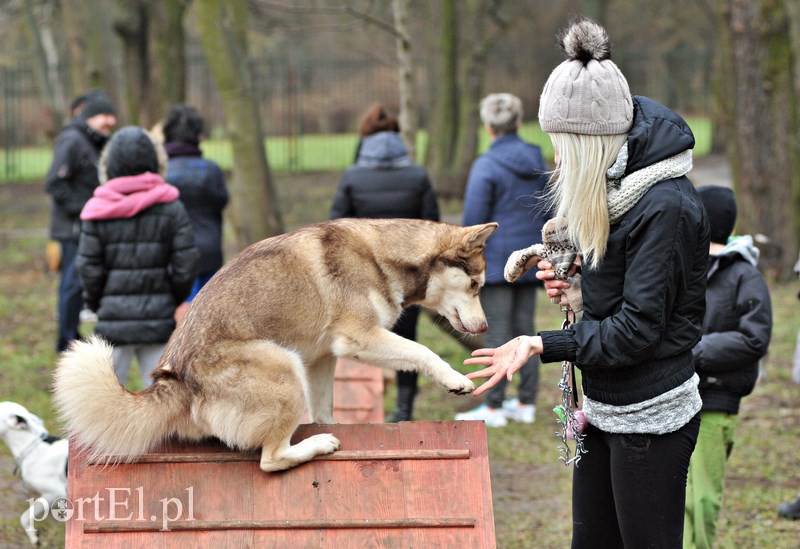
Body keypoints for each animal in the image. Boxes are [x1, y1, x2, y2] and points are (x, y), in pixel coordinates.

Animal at [54, 218, 494, 470]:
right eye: (476, 285)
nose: (486, 326)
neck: (381, 254)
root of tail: (174, 379)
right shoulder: (360, 339)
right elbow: (422, 351)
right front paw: (455, 379)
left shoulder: (323, 359)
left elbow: (324, 407)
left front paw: (329, 421)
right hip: (284, 365)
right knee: (270, 460)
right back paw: (316, 445)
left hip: (295, 365)